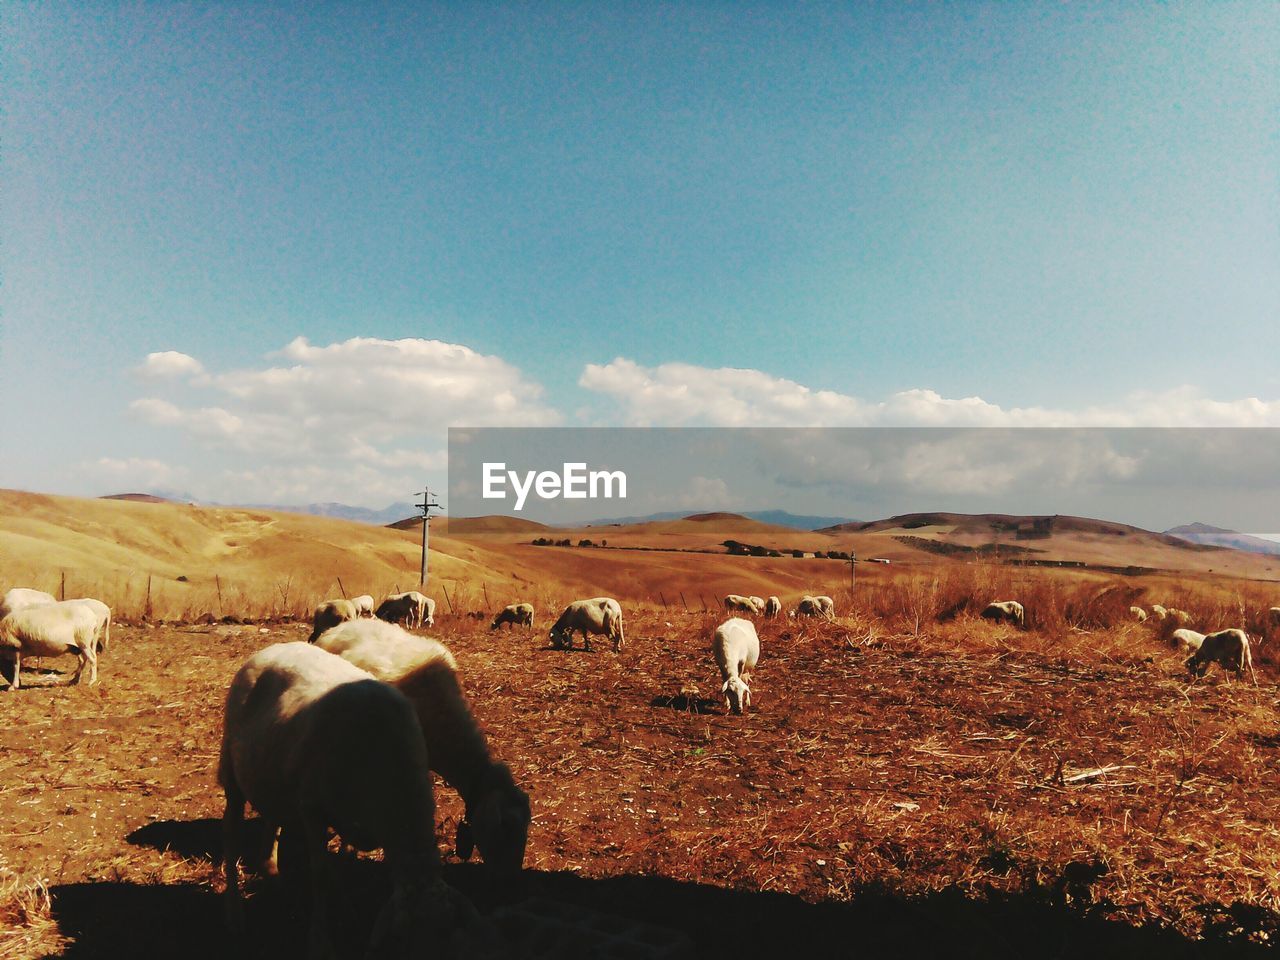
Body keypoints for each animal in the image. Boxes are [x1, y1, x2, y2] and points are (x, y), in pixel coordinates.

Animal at [217, 642, 481, 957]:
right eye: (410, 942)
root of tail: (270, 649)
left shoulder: (350, 820)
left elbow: (343, 863)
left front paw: (347, 912)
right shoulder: (312, 809)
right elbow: (319, 874)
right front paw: (320, 941)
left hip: (273, 769)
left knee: (272, 815)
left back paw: (270, 871)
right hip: (232, 771)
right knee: (230, 833)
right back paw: (234, 913)